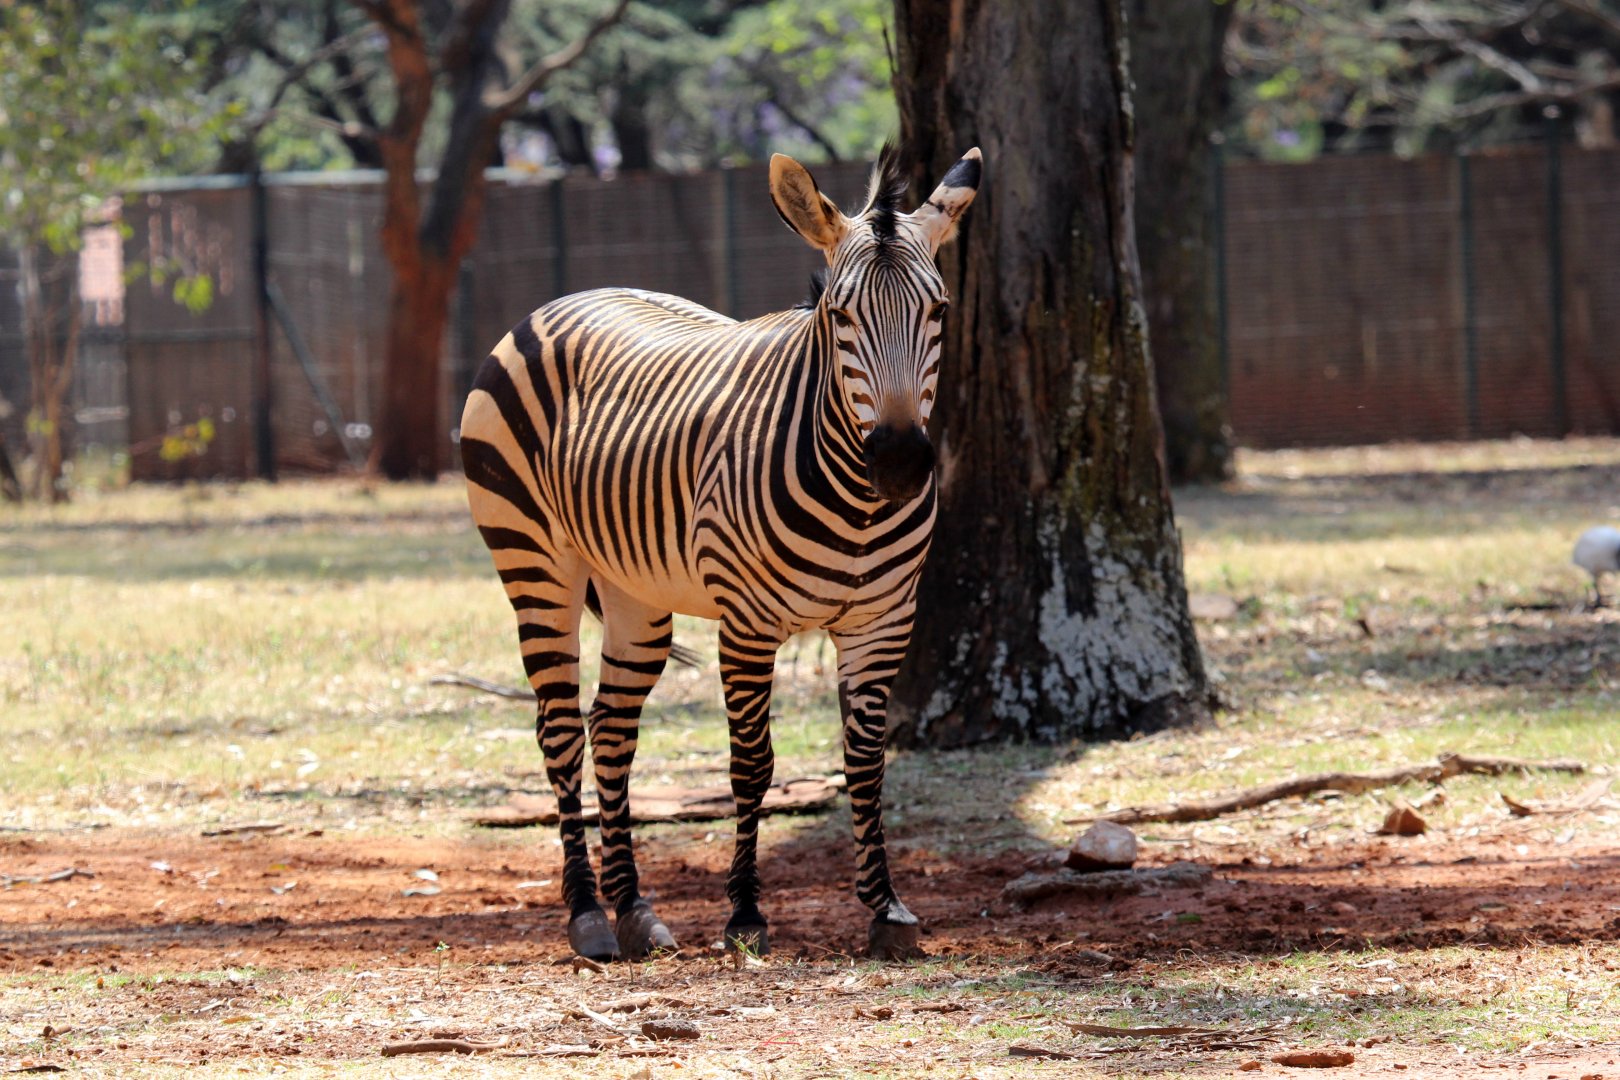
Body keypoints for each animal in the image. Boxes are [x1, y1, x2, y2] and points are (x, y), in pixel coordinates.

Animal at [459, 145, 981, 961]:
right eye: (839, 315)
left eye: (940, 311)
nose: (898, 463)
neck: (859, 505)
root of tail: (564, 299)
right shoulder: (748, 624)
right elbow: (752, 764)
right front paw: (744, 914)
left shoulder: (883, 621)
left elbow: (865, 763)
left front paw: (885, 907)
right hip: (535, 562)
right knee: (558, 730)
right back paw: (587, 916)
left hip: (634, 593)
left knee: (611, 729)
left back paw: (634, 910)